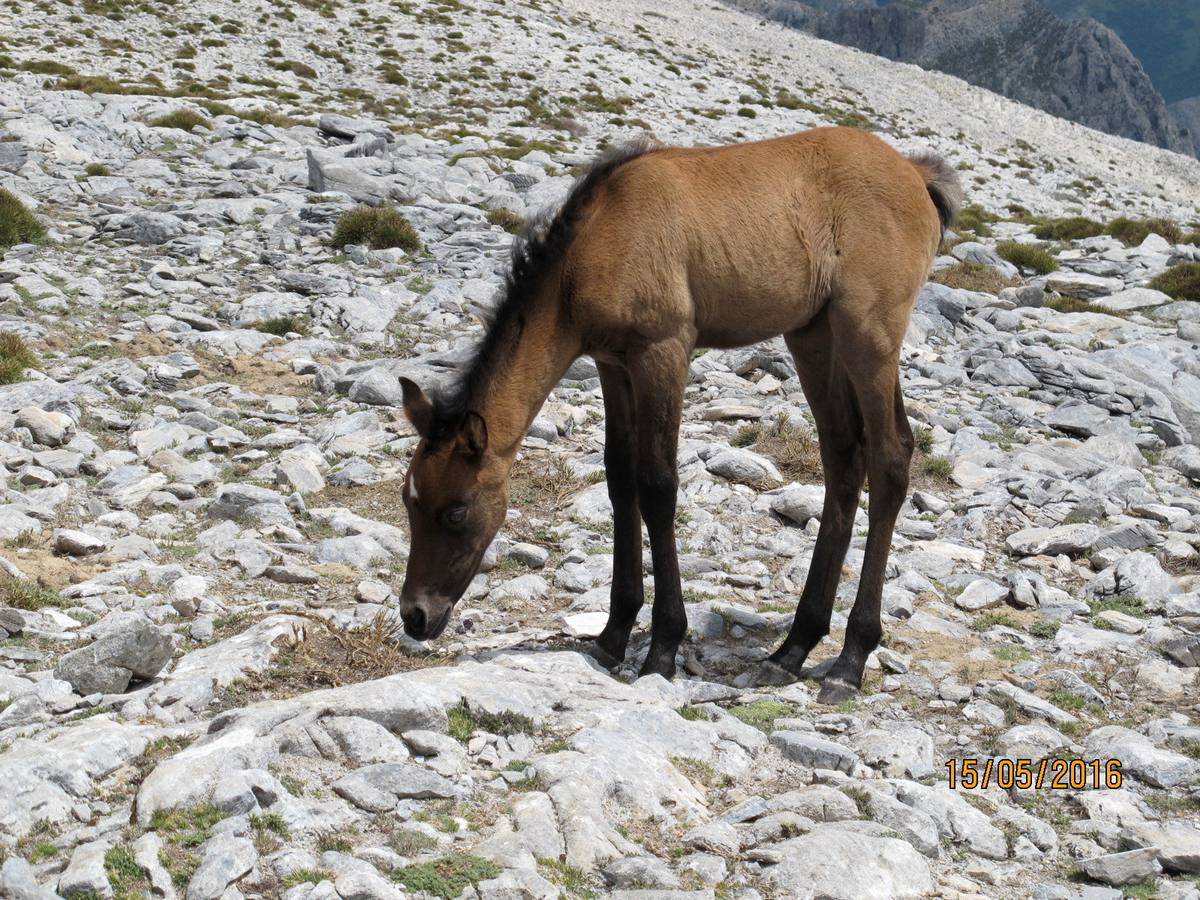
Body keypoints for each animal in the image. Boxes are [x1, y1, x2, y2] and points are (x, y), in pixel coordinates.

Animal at [398, 127, 960, 705]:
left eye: (456, 512)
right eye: (408, 501)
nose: (416, 616)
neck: (596, 243)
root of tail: (915, 173)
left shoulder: (662, 351)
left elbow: (658, 486)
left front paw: (663, 647)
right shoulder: (613, 364)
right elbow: (619, 479)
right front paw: (613, 635)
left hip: (869, 335)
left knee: (891, 458)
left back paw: (850, 659)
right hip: (813, 335)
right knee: (843, 459)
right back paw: (792, 649)